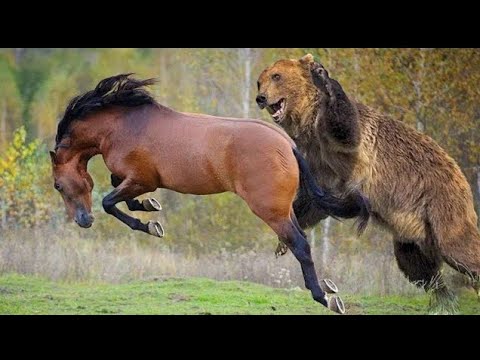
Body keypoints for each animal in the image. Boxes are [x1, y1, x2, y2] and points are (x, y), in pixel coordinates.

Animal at [49, 72, 372, 312]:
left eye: (57, 185)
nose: (83, 221)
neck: (123, 127)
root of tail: (287, 144)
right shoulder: (135, 180)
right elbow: (119, 192)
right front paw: (149, 207)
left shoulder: (142, 179)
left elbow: (109, 202)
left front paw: (150, 225)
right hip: (283, 210)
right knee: (298, 241)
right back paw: (326, 288)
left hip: (270, 211)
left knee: (301, 246)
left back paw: (325, 297)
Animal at [256, 52, 480, 312]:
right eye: (260, 81)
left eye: (277, 76)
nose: (260, 97)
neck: (309, 125)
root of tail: (459, 172)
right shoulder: (316, 159)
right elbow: (310, 201)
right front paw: (283, 239)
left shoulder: (348, 142)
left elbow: (346, 127)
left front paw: (323, 76)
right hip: (413, 231)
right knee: (416, 265)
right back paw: (442, 298)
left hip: (442, 203)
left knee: (459, 248)